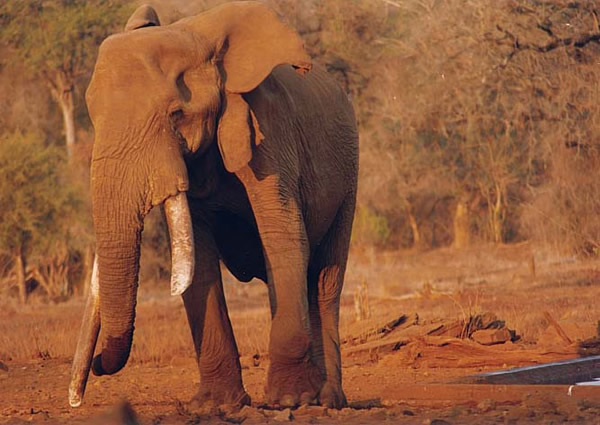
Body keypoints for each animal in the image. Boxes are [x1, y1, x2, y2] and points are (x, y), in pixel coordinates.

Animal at [71, 0, 360, 410]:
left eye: (176, 115)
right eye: (93, 119)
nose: (96, 364)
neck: (196, 37)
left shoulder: (269, 129)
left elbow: (283, 238)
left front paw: (288, 400)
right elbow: (201, 262)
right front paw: (216, 406)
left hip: (349, 175)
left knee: (325, 280)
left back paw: (328, 400)